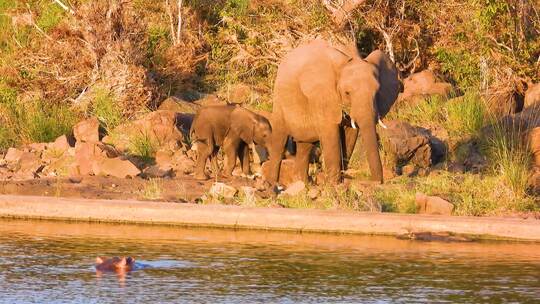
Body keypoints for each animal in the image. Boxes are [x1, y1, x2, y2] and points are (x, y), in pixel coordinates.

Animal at [266, 39, 400, 184]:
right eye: (347, 93)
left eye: (377, 92)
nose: (376, 182)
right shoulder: (324, 94)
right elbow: (330, 132)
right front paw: (333, 184)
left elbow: (350, 134)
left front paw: (341, 179)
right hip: (279, 100)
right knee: (279, 142)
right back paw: (272, 183)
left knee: (305, 144)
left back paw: (303, 184)